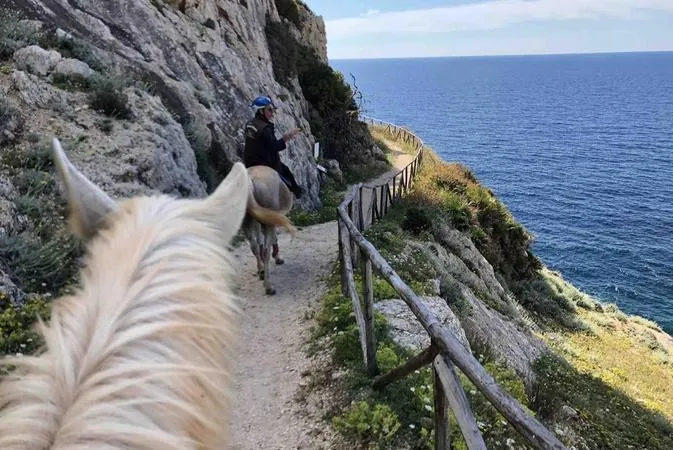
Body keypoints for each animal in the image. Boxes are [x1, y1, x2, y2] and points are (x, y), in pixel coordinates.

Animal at [241, 165, 295, 296]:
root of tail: (249, 180)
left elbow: (258, 241)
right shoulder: (272, 219)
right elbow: (274, 238)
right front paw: (277, 257)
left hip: (247, 221)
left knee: (254, 246)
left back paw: (261, 271)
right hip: (268, 221)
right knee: (265, 251)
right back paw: (269, 286)